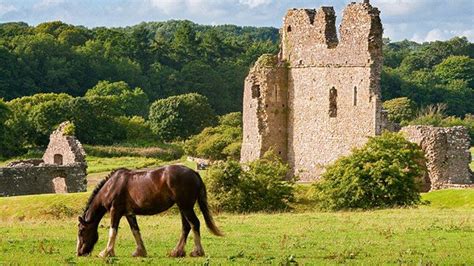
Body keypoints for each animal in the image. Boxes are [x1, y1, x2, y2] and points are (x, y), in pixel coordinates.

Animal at [75, 164, 222, 258]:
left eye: (81, 231)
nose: (79, 253)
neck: (112, 186)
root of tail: (194, 173)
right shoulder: (129, 213)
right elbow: (135, 231)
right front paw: (140, 252)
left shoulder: (115, 211)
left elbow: (113, 232)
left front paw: (106, 252)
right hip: (182, 207)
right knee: (186, 227)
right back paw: (177, 252)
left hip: (186, 207)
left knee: (195, 224)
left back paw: (197, 252)